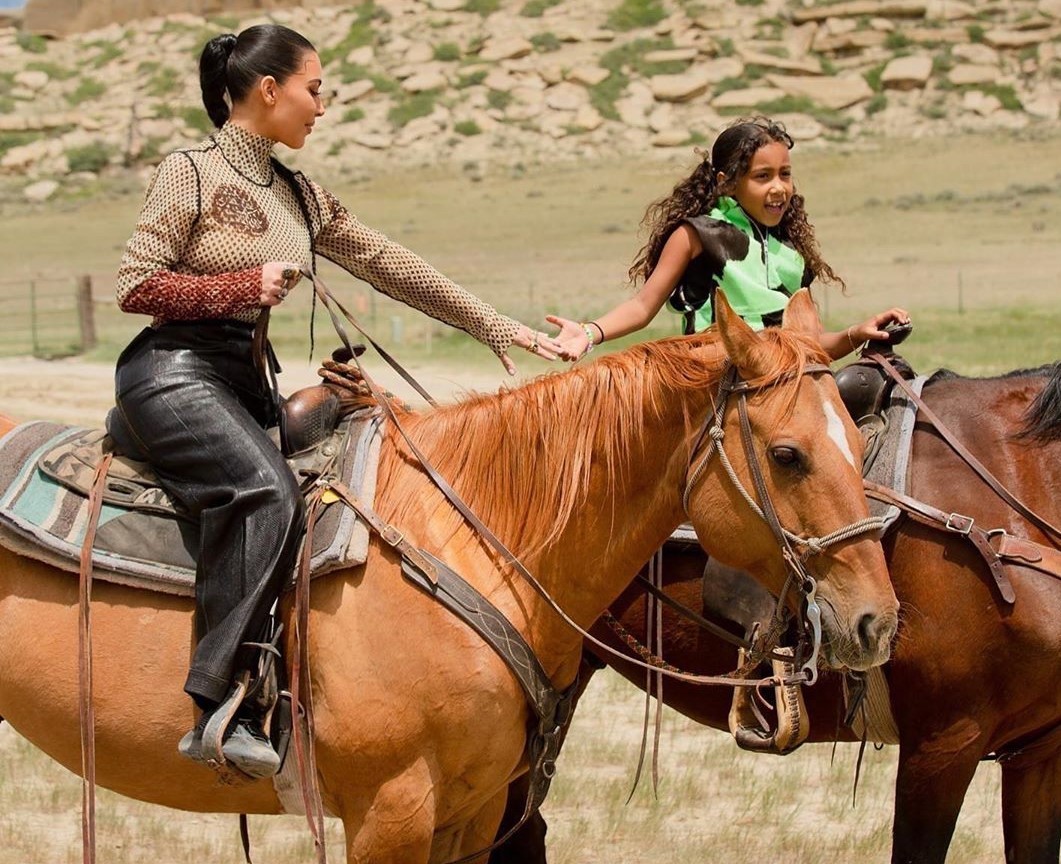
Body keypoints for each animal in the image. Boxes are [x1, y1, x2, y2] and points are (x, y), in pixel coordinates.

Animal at [0, 292, 899, 864]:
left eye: (855, 438)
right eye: (787, 455)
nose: (877, 621)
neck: (476, 541)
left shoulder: (469, 814)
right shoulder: (388, 813)